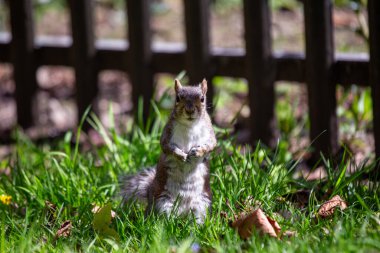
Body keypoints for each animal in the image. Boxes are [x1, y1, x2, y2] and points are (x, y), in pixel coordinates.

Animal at [121, 78, 217, 222]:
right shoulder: (167, 131)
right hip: (162, 203)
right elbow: (166, 146)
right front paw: (181, 155)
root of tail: (183, 213)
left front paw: (197, 152)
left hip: (202, 204)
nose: (189, 110)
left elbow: (211, 144)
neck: (189, 125)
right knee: (163, 220)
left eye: (202, 99)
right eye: (177, 98)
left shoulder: (209, 130)